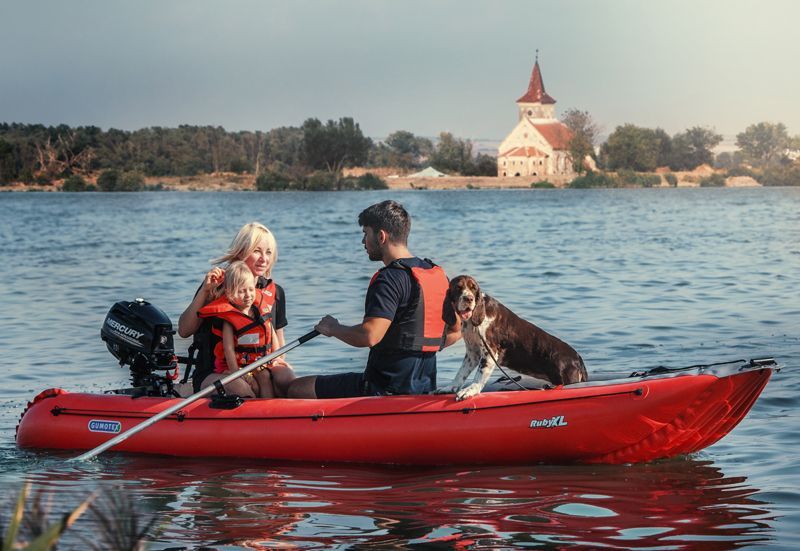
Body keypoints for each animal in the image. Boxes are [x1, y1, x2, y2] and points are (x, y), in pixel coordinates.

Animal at [440, 276, 584, 402]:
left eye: (473, 288)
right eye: (458, 287)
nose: (468, 298)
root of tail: (577, 358)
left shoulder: (489, 352)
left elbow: (479, 376)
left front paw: (469, 390)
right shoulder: (472, 353)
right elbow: (461, 373)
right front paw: (450, 387)